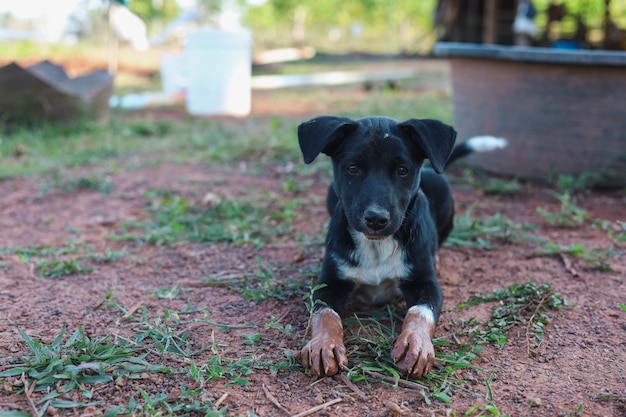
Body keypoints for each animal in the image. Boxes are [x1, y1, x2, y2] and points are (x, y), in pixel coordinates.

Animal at [294, 114, 504, 376]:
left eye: (402, 170)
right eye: (352, 168)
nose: (376, 219)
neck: (376, 246)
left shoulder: (425, 282)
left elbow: (420, 312)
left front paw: (415, 344)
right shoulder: (329, 281)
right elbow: (324, 313)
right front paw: (324, 344)